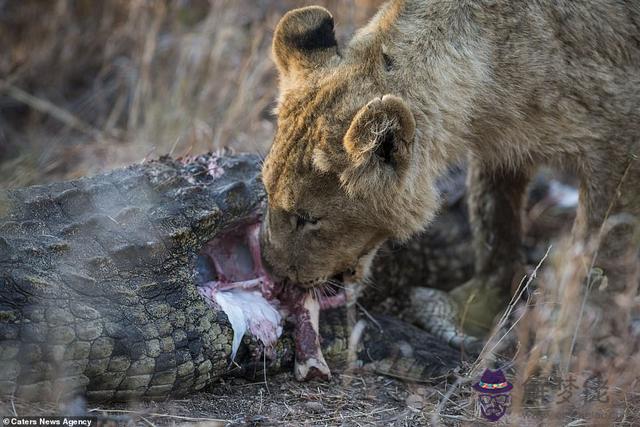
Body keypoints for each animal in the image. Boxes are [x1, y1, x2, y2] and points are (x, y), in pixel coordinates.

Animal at [260, 0, 640, 342]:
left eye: (308, 219)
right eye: (266, 193)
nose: (273, 274)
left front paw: (564, 339)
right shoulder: (504, 147)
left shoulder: (620, 149)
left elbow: (598, 253)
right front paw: (475, 308)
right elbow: (493, 225)